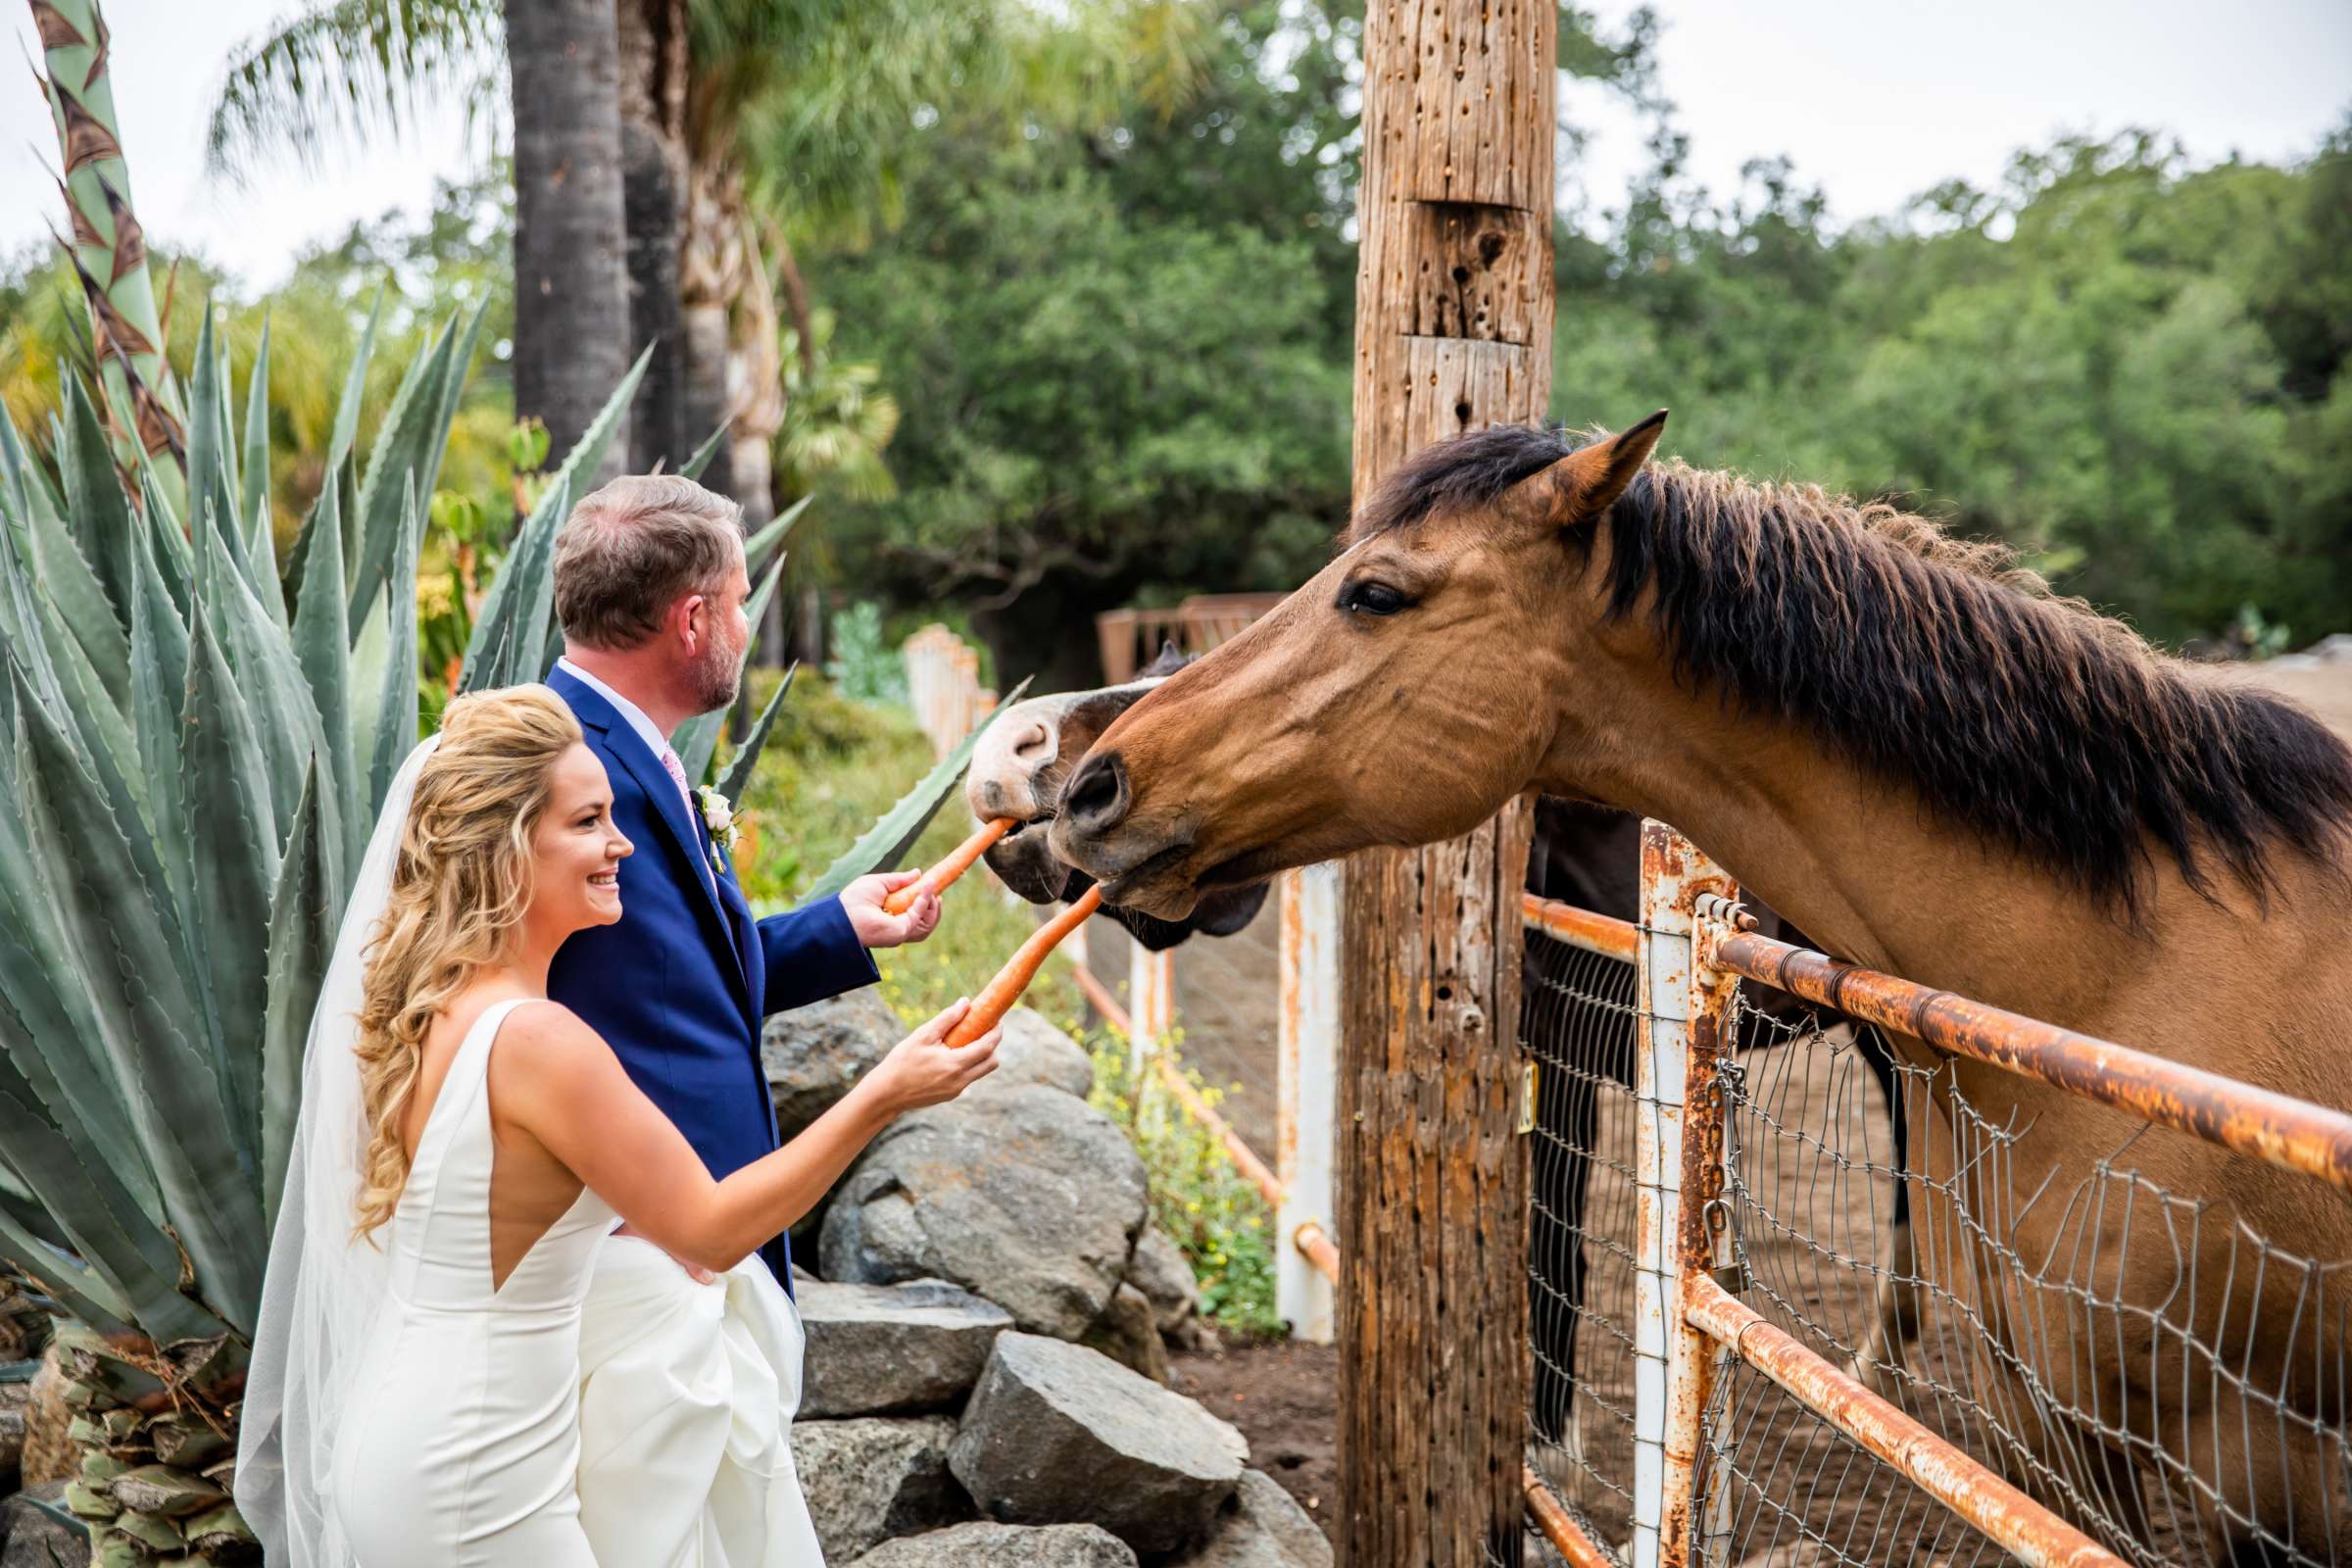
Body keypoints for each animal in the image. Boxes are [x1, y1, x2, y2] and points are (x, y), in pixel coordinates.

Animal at [1054, 420, 2352, 1568]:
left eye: (1374, 592)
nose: (1088, 786)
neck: (2131, 976)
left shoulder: (2259, 1455)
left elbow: (1556, 1225)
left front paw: (1544, 1442)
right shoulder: (2071, 1444)